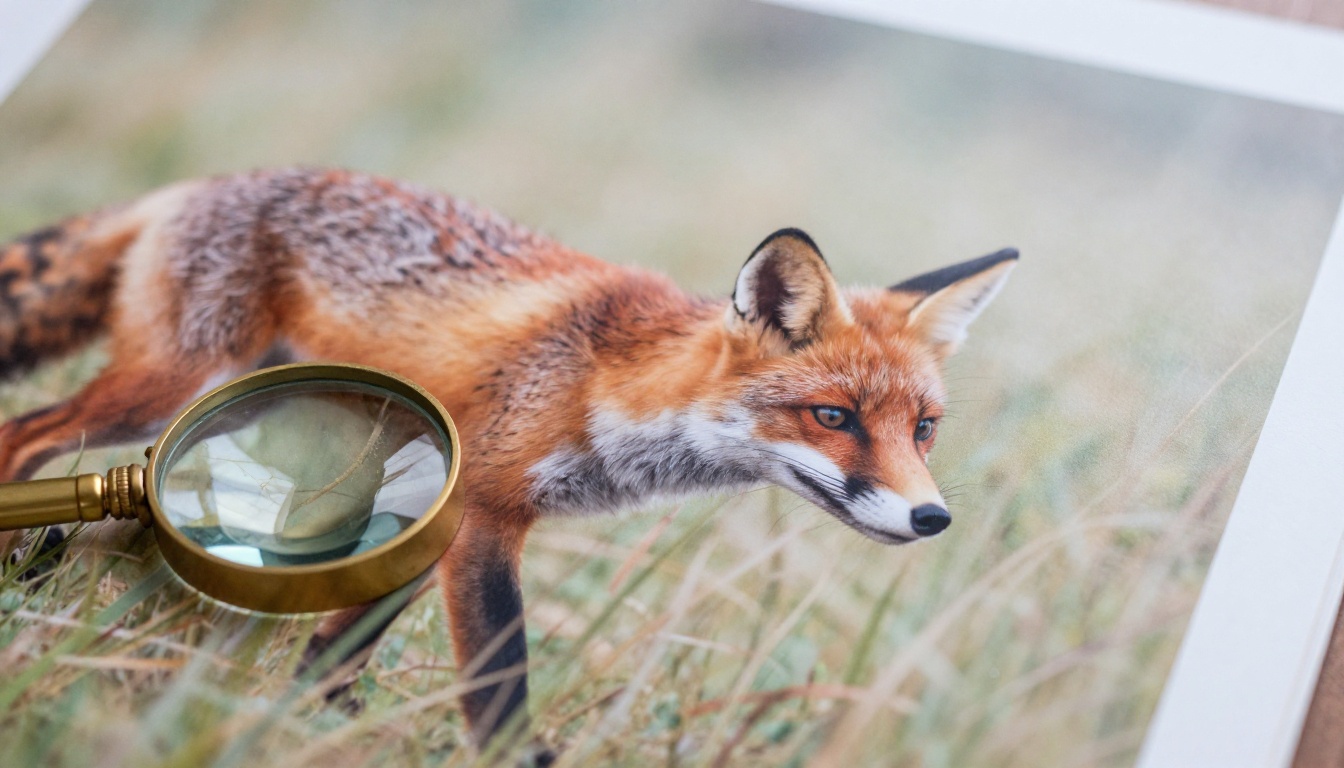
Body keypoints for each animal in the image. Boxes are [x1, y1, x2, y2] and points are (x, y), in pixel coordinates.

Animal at [0, 167, 1015, 749]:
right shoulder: (487, 509)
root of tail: (216, 177)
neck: (604, 390)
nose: (932, 516)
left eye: (924, 428)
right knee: (32, 434)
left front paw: (308, 718)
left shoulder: (437, 512)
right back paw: (22, 571)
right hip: (173, 382)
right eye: (833, 416)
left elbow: (344, 642)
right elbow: (499, 679)